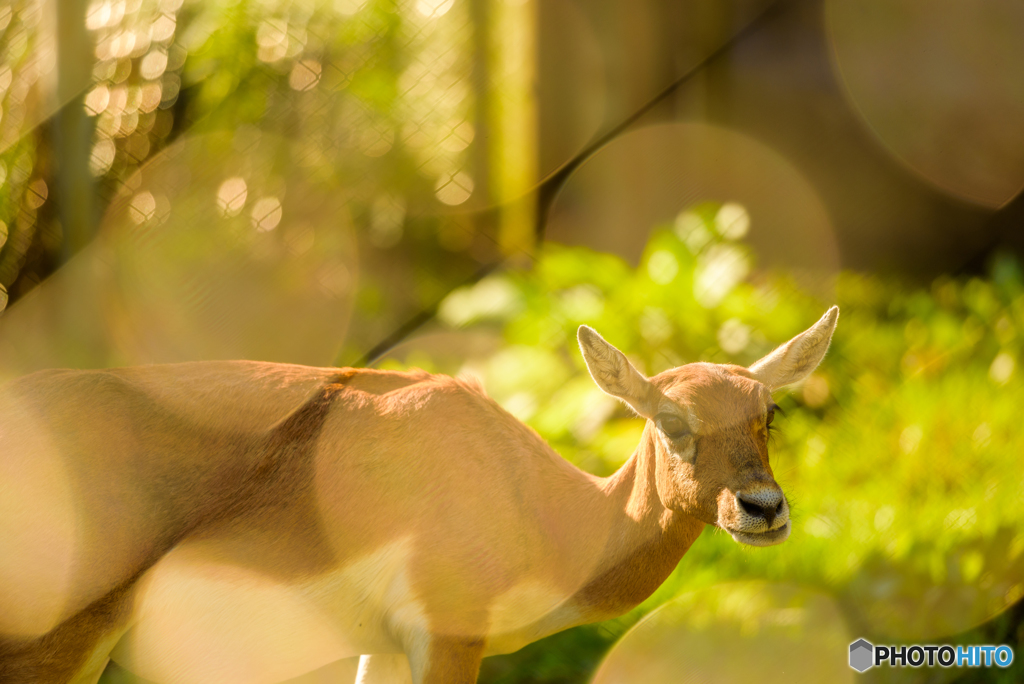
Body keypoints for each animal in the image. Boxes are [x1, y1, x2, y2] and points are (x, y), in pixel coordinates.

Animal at [0, 307, 839, 679]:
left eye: (768, 413)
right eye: (671, 420)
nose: (763, 510)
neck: (537, 503)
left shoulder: (382, 647)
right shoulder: (448, 634)